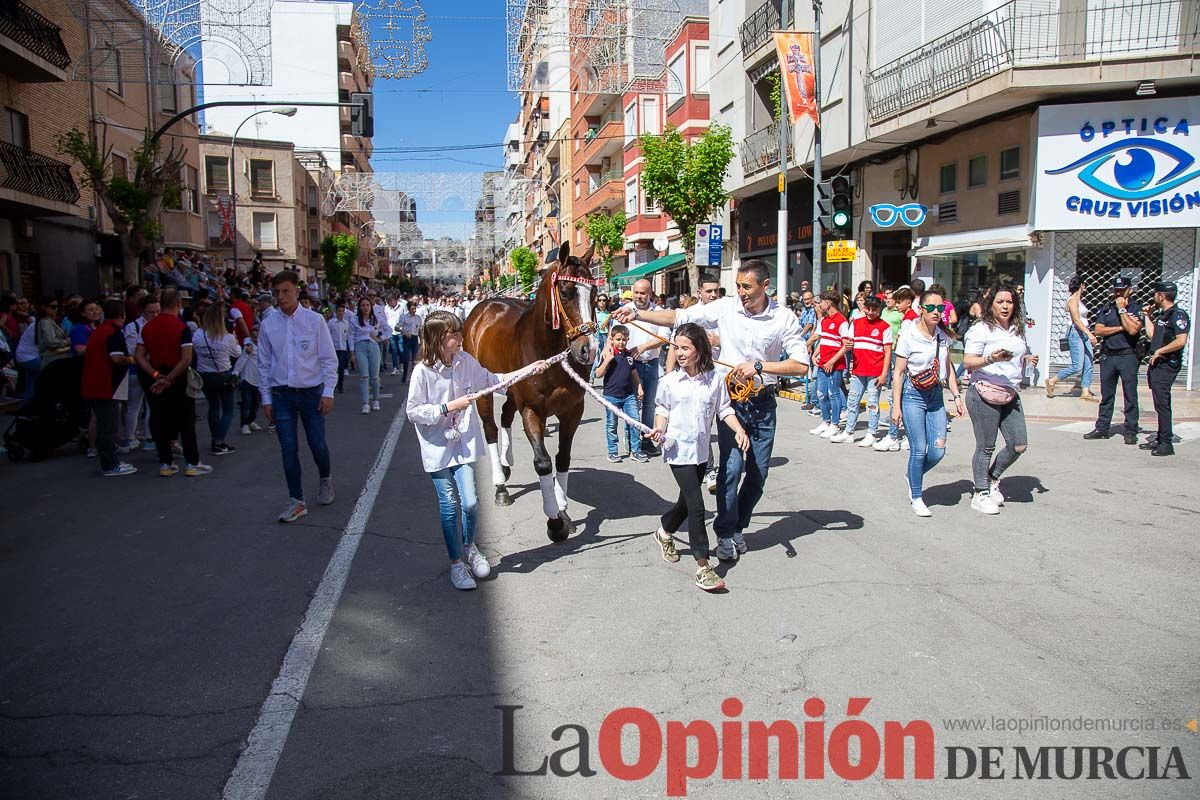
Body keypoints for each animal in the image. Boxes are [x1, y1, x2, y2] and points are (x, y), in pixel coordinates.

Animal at [463, 244, 604, 542]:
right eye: (566, 292)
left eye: (594, 294)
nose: (589, 350)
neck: (547, 351)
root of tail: (483, 308)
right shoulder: (531, 410)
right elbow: (543, 462)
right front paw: (554, 521)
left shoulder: (573, 410)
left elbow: (563, 458)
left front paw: (564, 512)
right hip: (484, 390)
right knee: (491, 428)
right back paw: (500, 485)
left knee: (505, 415)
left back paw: (506, 462)